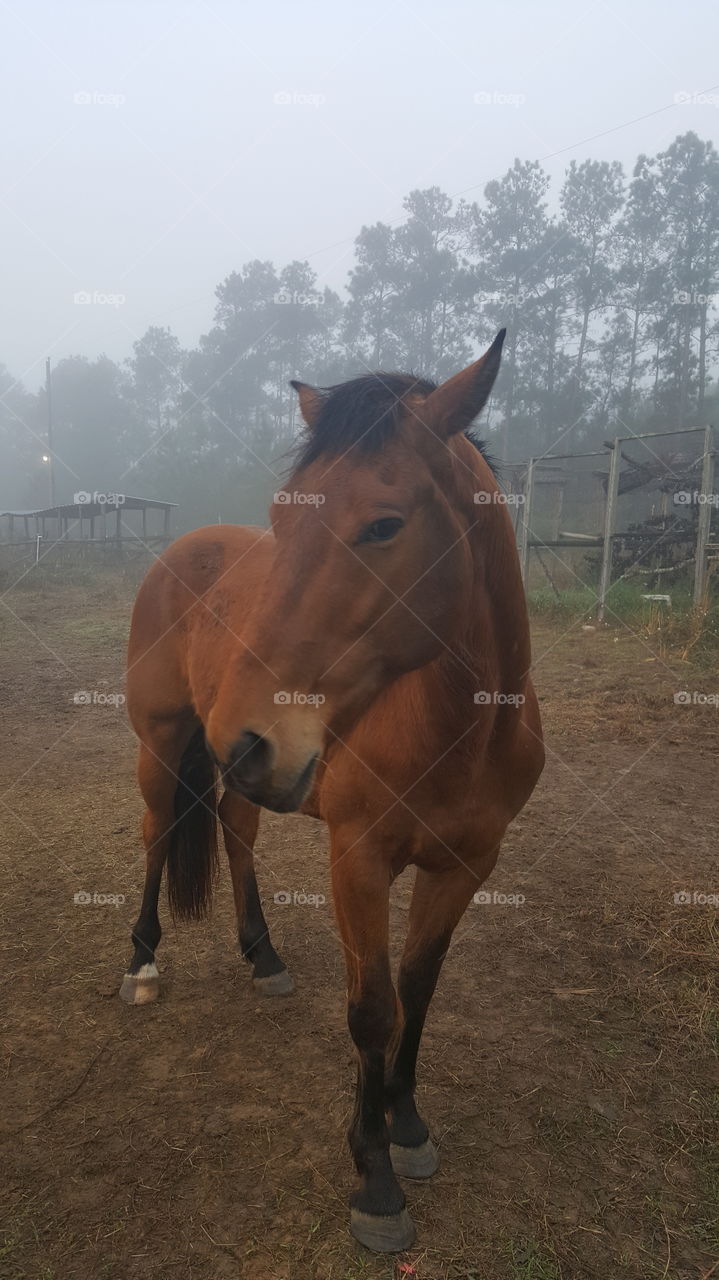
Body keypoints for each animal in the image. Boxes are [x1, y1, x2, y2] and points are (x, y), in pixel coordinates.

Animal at [121, 330, 545, 1253]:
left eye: (383, 525)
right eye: (282, 519)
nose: (247, 735)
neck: (456, 726)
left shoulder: (467, 864)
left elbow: (418, 989)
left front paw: (407, 1125)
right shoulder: (357, 860)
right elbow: (370, 1010)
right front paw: (374, 1179)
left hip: (236, 781)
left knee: (234, 834)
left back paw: (264, 955)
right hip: (163, 748)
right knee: (157, 837)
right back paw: (140, 962)